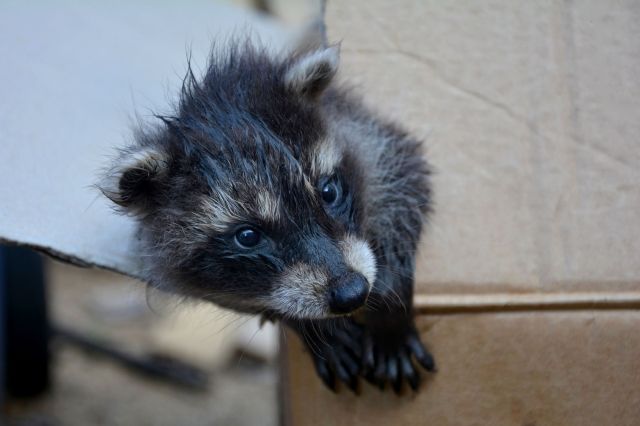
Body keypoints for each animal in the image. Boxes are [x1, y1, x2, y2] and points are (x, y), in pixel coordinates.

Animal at [100, 37, 434, 394]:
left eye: (328, 192)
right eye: (248, 236)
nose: (352, 293)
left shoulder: (370, 135)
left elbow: (405, 184)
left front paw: (389, 302)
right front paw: (309, 325)